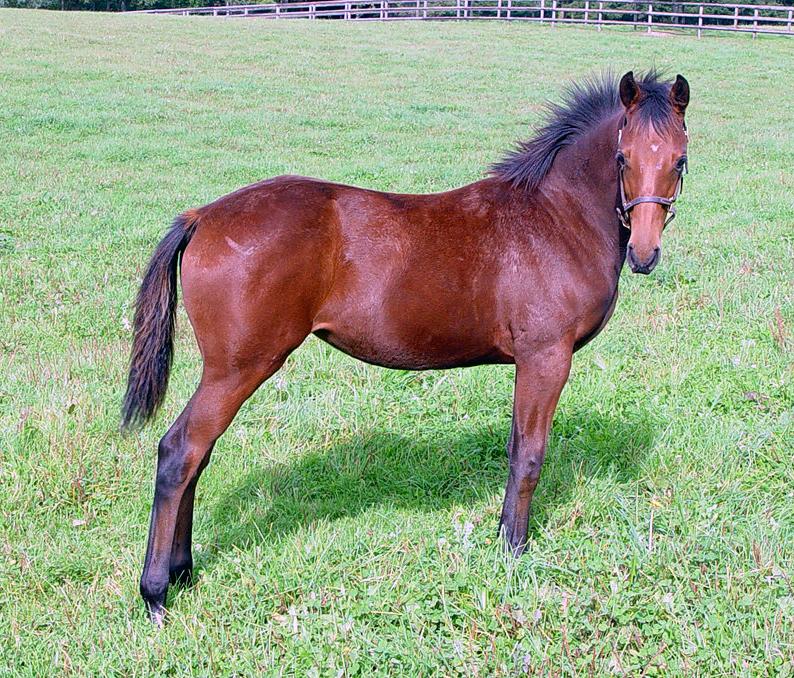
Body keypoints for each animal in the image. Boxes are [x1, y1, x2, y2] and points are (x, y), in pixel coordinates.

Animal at [122, 70, 690, 625]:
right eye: (622, 157)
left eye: (680, 159)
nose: (644, 254)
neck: (554, 218)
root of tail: (202, 216)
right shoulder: (545, 358)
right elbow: (529, 454)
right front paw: (514, 550)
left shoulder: (530, 364)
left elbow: (514, 447)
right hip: (238, 368)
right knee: (180, 451)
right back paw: (156, 594)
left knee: (198, 456)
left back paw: (183, 572)